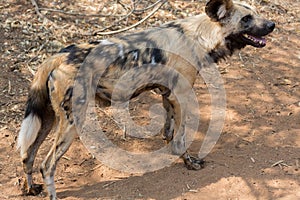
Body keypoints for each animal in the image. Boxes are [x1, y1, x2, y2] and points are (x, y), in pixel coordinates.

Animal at [17, 0, 274, 199]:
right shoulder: (182, 96)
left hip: (48, 118)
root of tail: (57, 56)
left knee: (28, 155)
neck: (199, 37)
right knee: (47, 165)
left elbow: (169, 130)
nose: (272, 24)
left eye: (257, 12)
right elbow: (182, 138)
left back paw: (31, 189)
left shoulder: (168, 95)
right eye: (246, 19)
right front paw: (189, 162)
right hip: (71, 122)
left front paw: (171, 150)